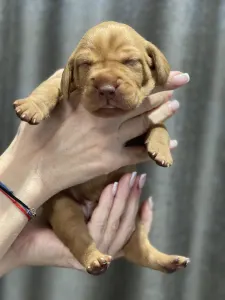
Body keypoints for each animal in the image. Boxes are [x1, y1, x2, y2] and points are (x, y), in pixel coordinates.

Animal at [13, 20, 190, 274]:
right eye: (86, 64)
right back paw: (95, 259)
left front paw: (161, 148)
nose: (106, 87)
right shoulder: (61, 81)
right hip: (63, 207)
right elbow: (49, 86)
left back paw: (170, 261)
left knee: (140, 251)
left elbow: (159, 126)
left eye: (131, 62)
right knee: (79, 237)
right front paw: (32, 106)